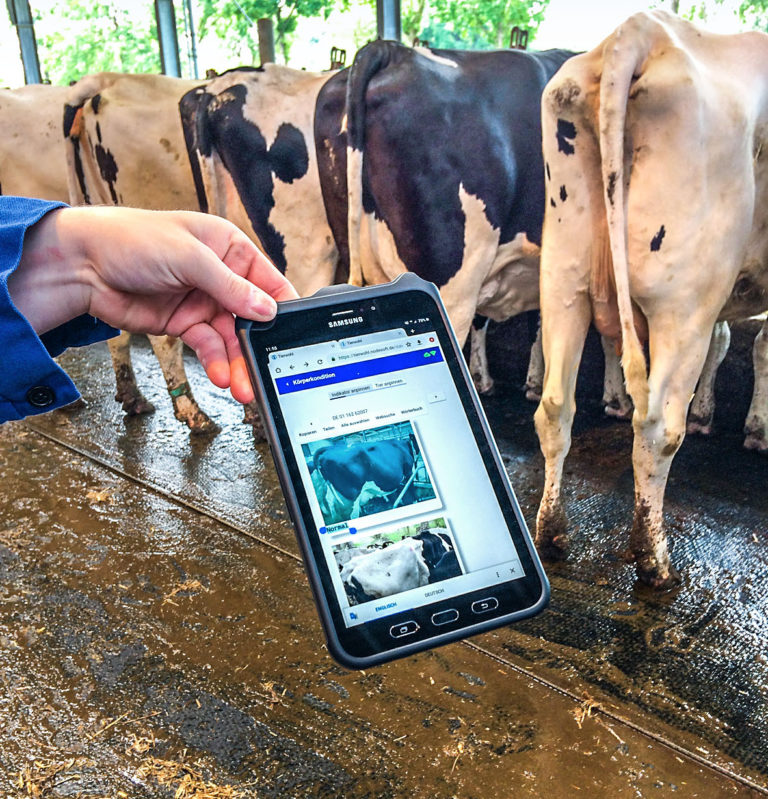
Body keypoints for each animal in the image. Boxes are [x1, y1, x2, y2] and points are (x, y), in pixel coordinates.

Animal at [536, 9, 768, 592]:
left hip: (563, 278)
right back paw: (654, 560)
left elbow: (730, 339)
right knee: (658, 427)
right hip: (682, 301)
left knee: (555, 407)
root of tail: (640, 31)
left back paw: (552, 532)